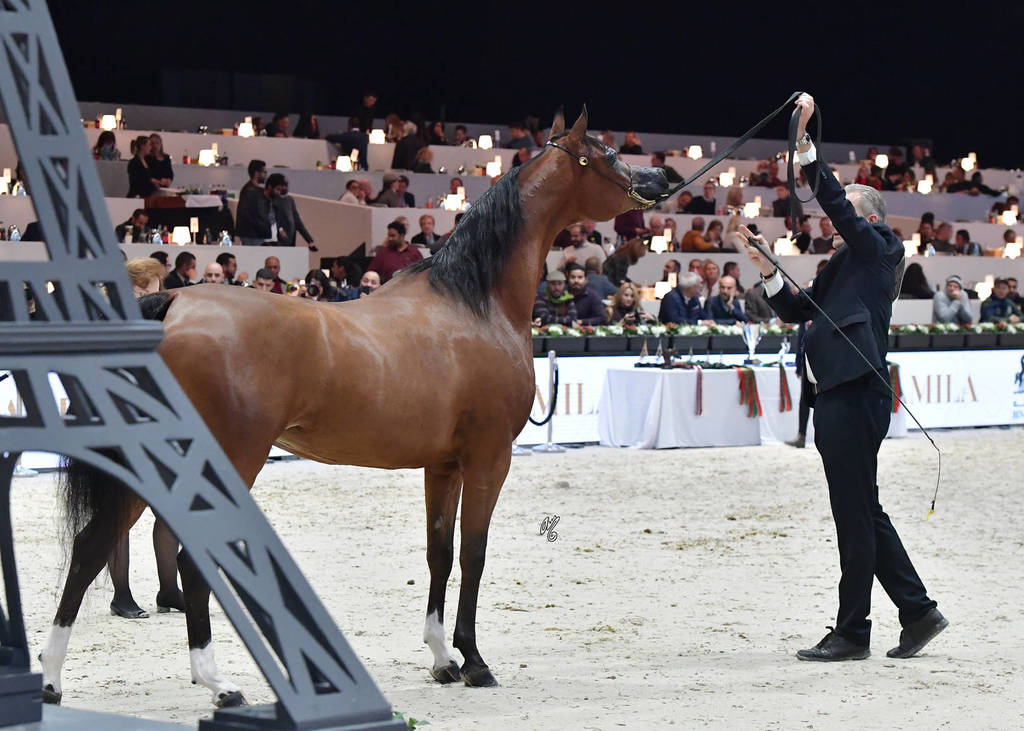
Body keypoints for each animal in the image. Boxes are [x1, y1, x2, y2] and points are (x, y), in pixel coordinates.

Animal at [39, 107, 670, 708]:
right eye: (607, 153)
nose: (661, 179)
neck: (475, 304)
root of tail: (171, 305)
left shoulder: (443, 466)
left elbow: (439, 554)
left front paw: (442, 660)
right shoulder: (489, 459)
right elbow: (474, 555)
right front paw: (474, 661)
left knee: (92, 546)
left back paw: (54, 679)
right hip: (223, 458)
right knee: (176, 556)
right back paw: (215, 683)